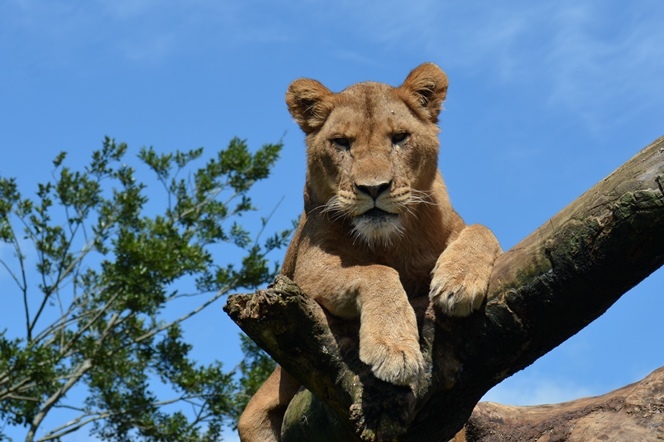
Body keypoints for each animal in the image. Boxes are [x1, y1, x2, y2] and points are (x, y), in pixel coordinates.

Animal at [236, 63, 500, 442]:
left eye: (399, 138)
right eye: (341, 143)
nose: (373, 189)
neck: (393, 242)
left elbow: (482, 228)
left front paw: (458, 281)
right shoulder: (307, 271)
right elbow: (378, 272)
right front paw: (394, 348)